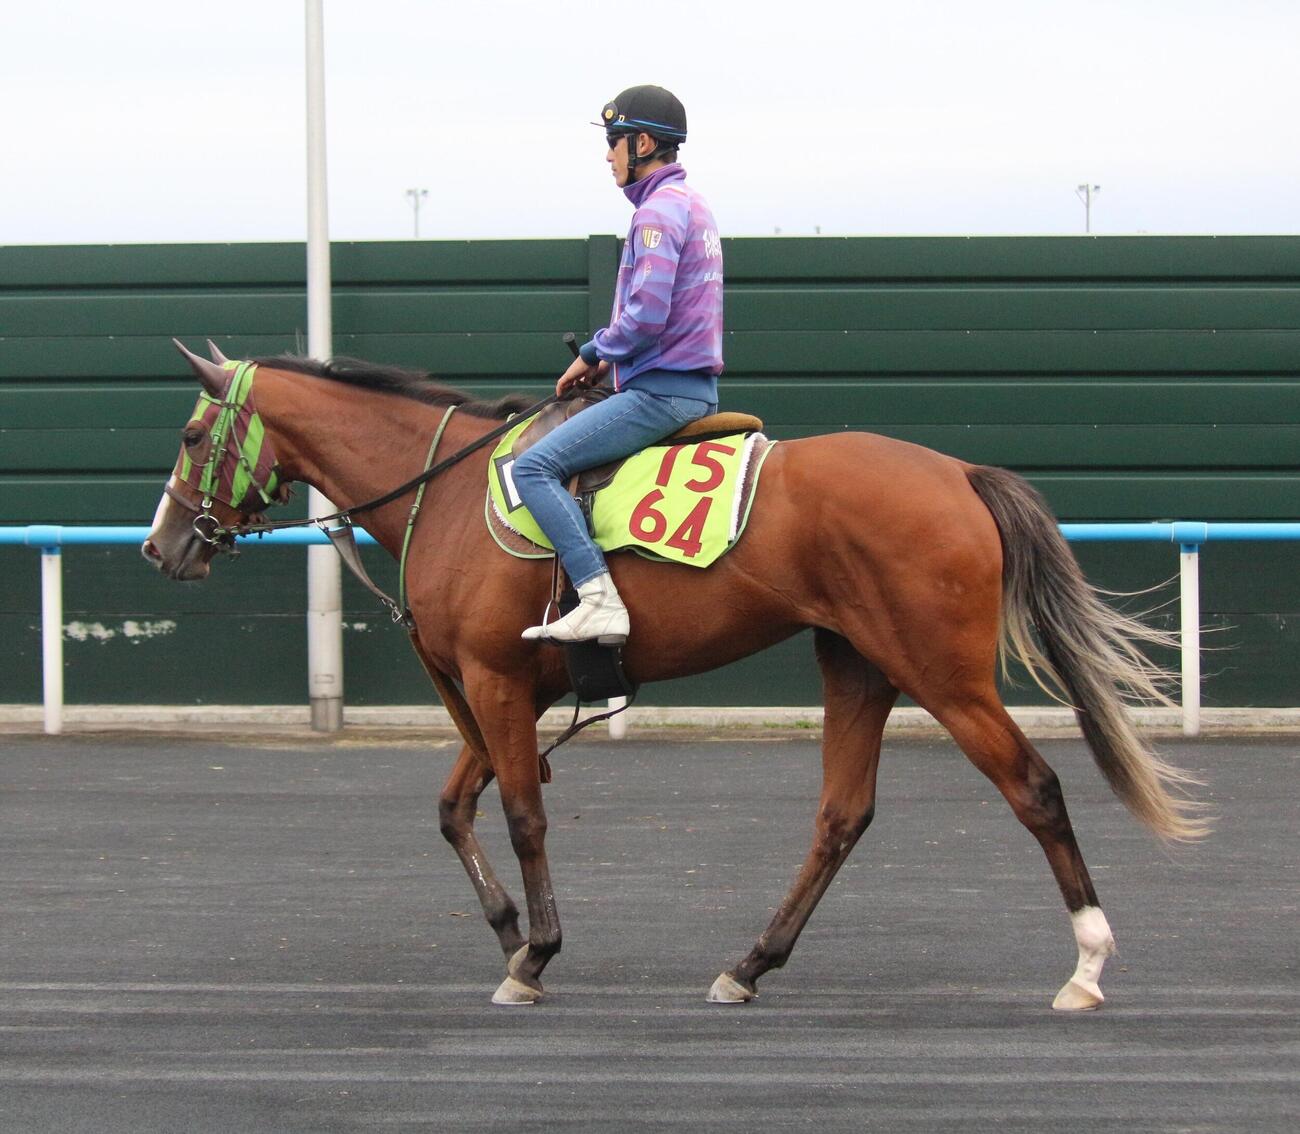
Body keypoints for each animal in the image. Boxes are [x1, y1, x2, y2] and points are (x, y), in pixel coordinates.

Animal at [143, 342, 1206, 1009]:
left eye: (192, 437)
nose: (161, 547)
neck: (440, 489)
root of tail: (958, 474)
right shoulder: (501, 694)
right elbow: (454, 809)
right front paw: (507, 928)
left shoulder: (494, 684)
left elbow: (522, 815)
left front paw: (534, 955)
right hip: (858, 664)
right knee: (842, 815)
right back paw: (750, 962)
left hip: (940, 673)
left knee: (1034, 787)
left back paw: (1088, 966)